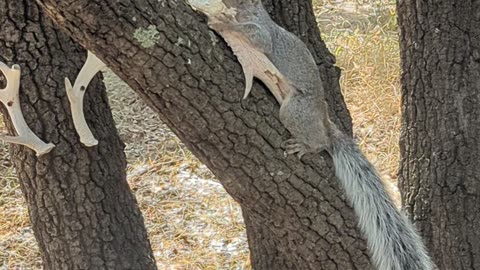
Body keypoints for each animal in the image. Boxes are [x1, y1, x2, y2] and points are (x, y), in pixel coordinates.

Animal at [188, 1, 436, 268]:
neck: (249, 12)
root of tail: (324, 123)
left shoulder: (263, 32)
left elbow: (259, 39)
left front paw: (223, 23)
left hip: (294, 110)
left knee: (320, 142)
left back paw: (307, 146)